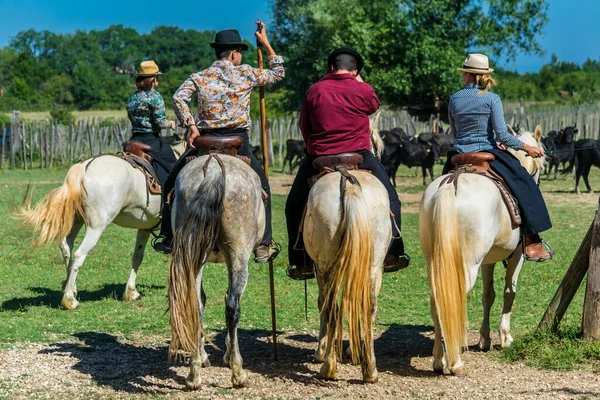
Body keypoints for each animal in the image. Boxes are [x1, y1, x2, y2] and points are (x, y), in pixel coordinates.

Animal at [18, 139, 185, 310]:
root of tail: (84, 167)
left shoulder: (144, 228)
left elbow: (137, 256)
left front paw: (131, 292)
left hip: (77, 221)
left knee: (66, 247)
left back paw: (70, 287)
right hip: (96, 227)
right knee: (79, 254)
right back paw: (70, 300)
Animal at [168, 152, 264, 388]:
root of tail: (213, 167)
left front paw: (203, 357)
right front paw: (228, 356)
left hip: (193, 253)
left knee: (194, 303)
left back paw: (194, 375)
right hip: (238, 254)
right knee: (232, 306)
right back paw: (238, 373)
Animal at [302, 164, 392, 382]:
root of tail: (348, 181)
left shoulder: (319, 267)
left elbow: (323, 304)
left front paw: (321, 350)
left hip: (326, 266)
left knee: (331, 307)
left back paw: (328, 366)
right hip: (373, 265)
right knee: (369, 305)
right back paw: (370, 370)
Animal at [420, 124, 548, 376]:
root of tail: (451, 184)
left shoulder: (488, 261)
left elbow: (488, 296)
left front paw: (485, 339)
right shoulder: (517, 256)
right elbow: (509, 292)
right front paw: (505, 337)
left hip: (435, 262)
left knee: (436, 300)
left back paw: (439, 360)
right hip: (467, 265)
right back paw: (455, 362)